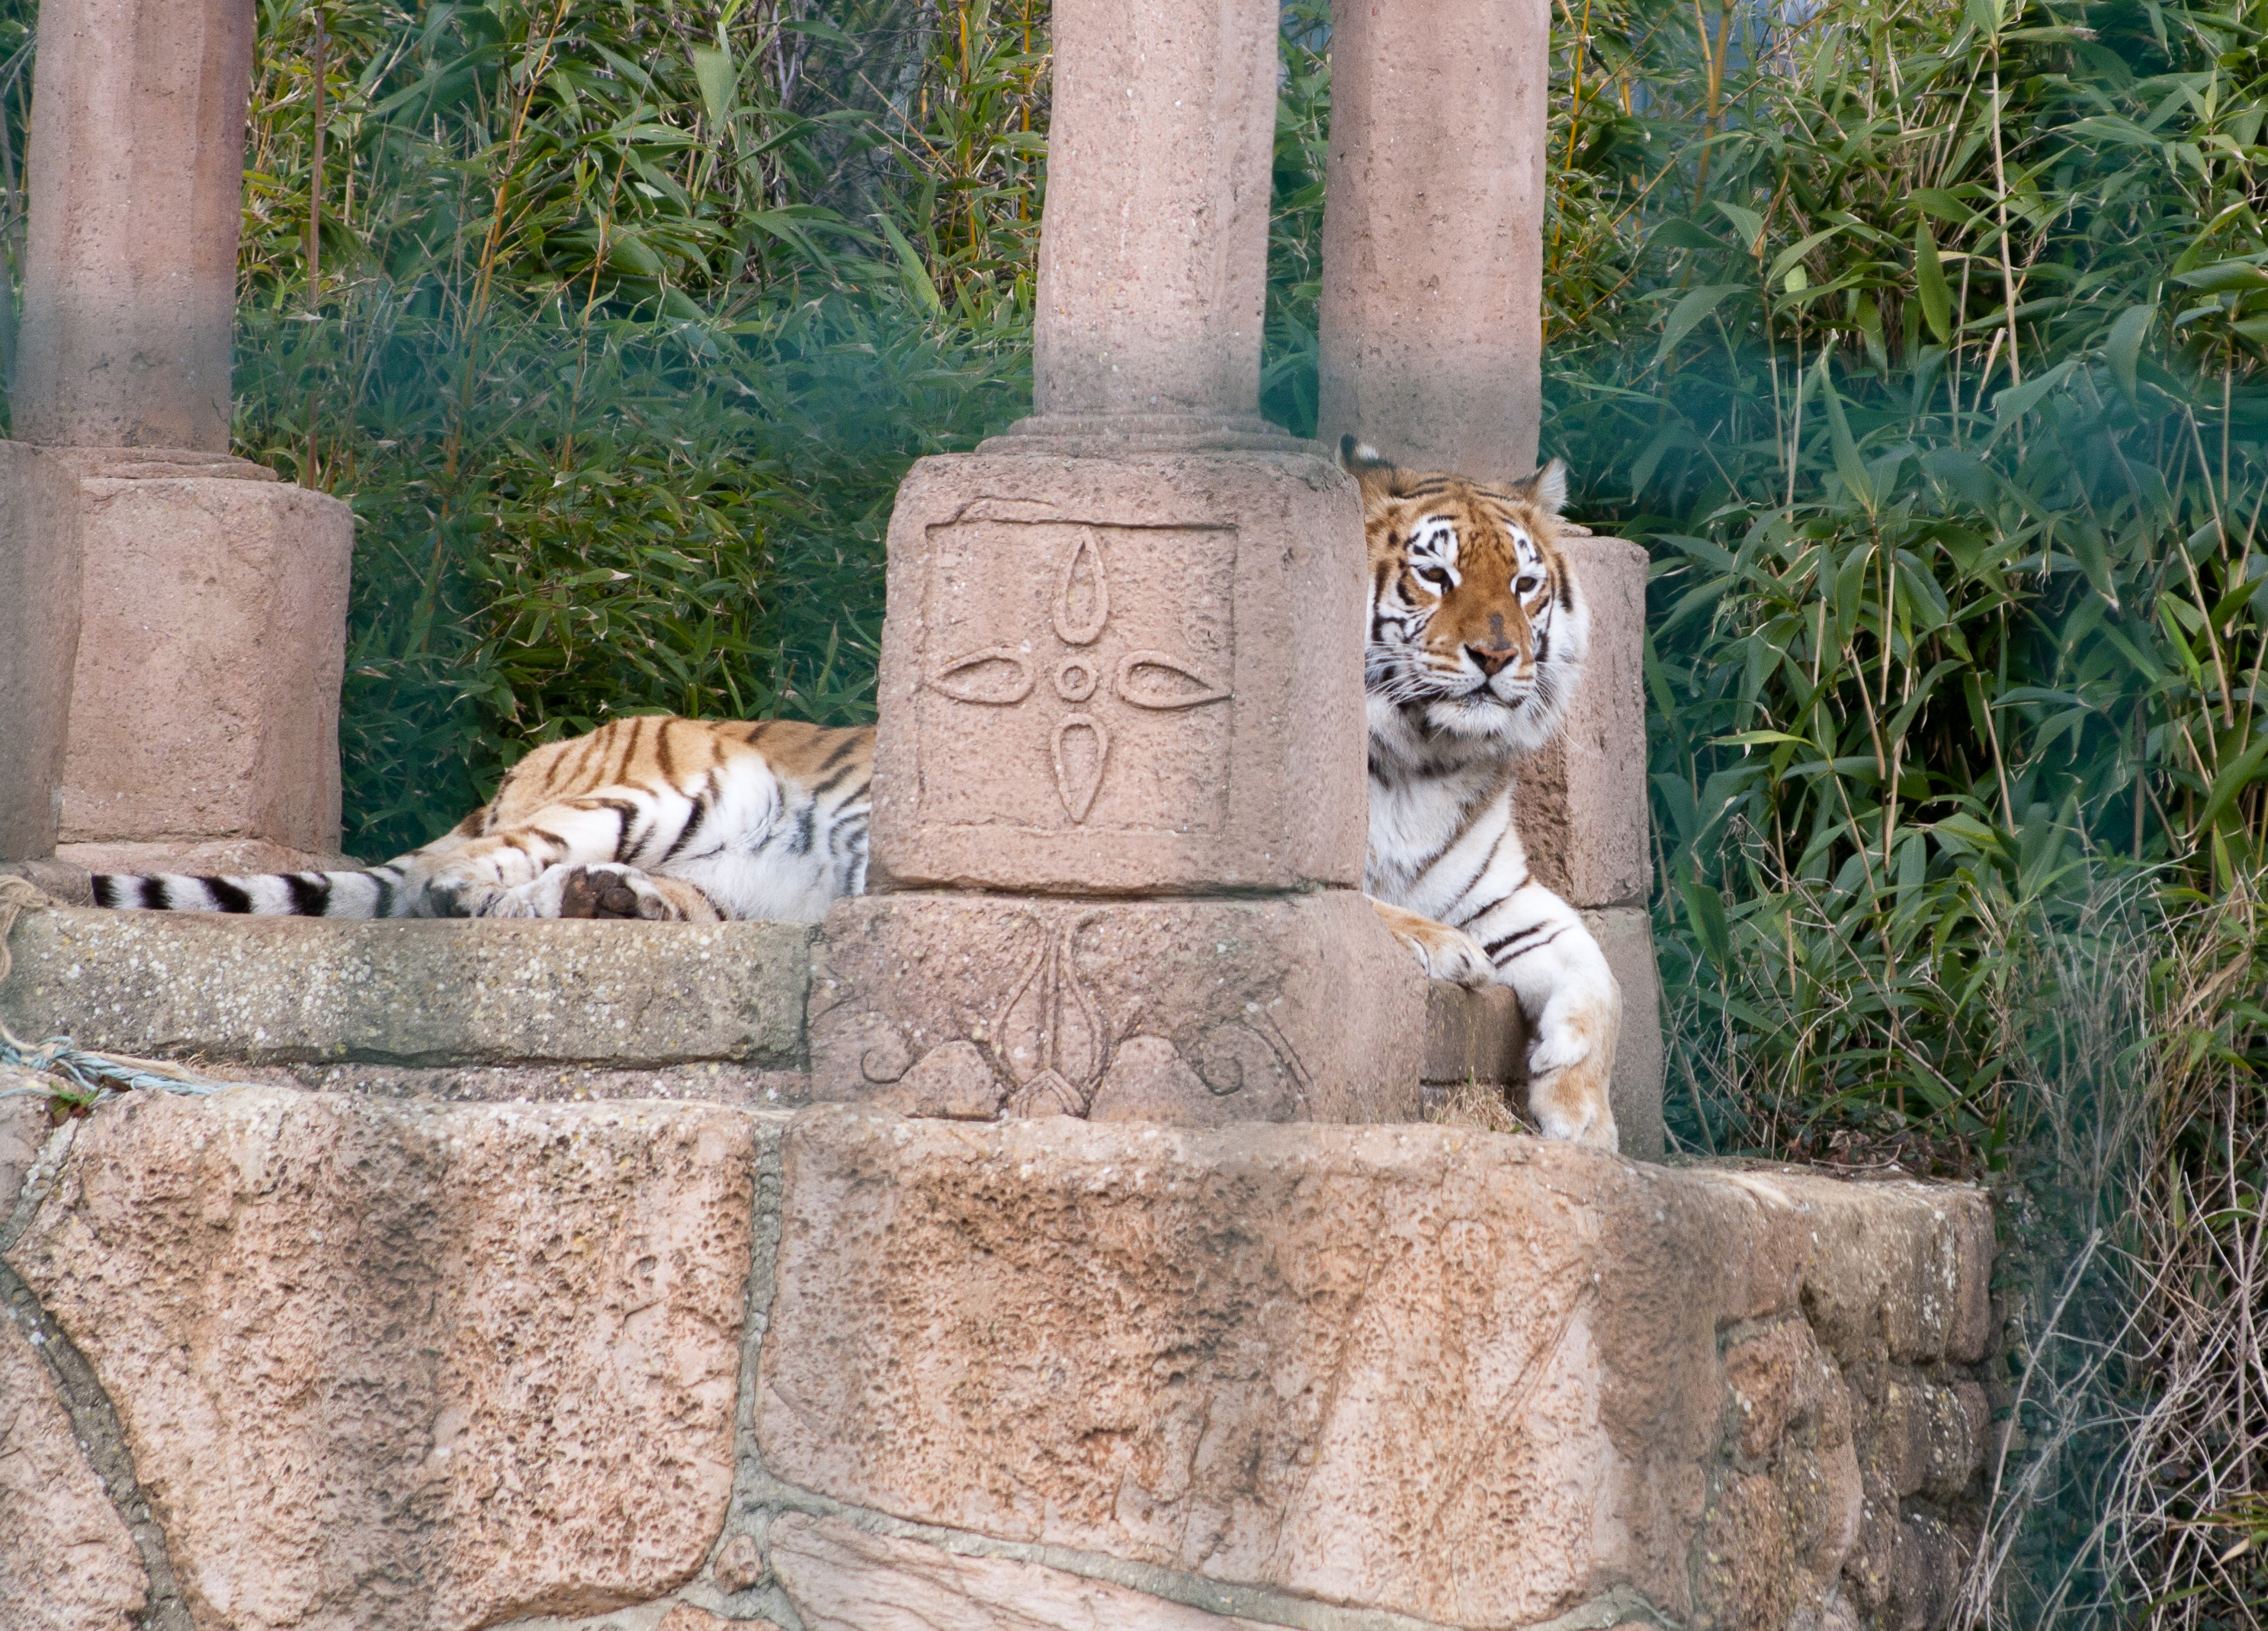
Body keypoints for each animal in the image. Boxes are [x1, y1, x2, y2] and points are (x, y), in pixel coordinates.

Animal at [1342, 436, 1622, 1151]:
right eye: (1435, 575)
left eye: (1524, 585)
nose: (1495, 656)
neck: (1419, 762)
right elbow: (1372, 906)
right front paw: (1453, 950)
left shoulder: (1507, 898)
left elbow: (1603, 981)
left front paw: (1585, 1117)